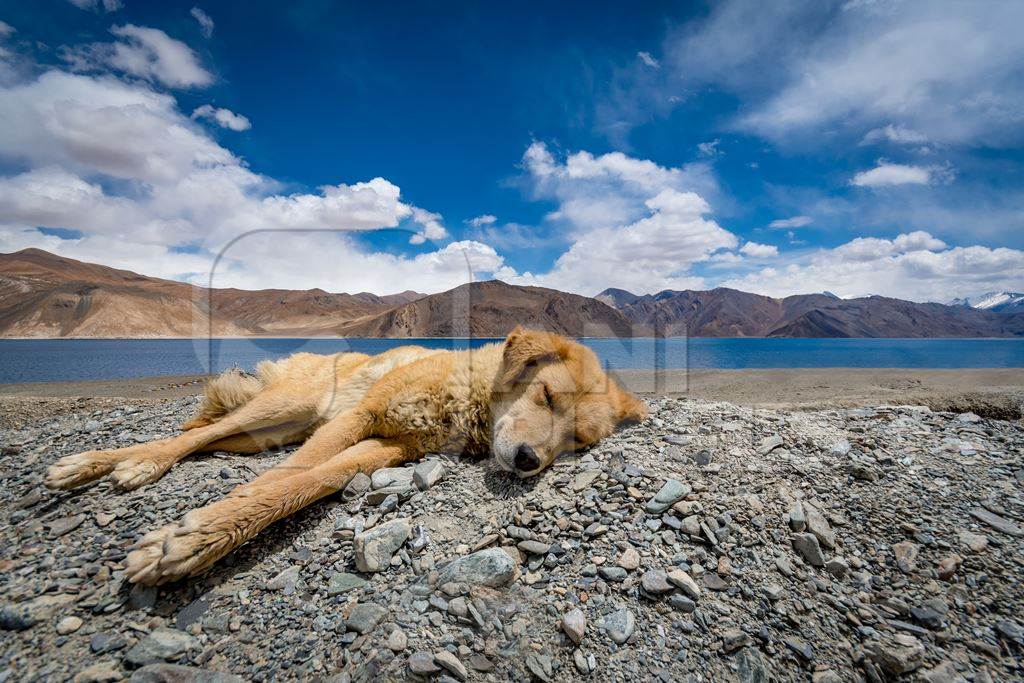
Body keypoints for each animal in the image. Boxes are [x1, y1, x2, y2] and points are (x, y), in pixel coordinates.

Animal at [46, 327, 647, 585]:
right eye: (547, 396)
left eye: (576, 444)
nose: (526, 461)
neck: (464, 398)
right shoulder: (358, 417)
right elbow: (284, 481)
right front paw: (199, 537)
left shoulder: (384, 447)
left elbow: (303, 484)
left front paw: (205, 533)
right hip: (287, 406)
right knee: (191, 437)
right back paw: (112, 463)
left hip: (268, 432)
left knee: (209, 439)